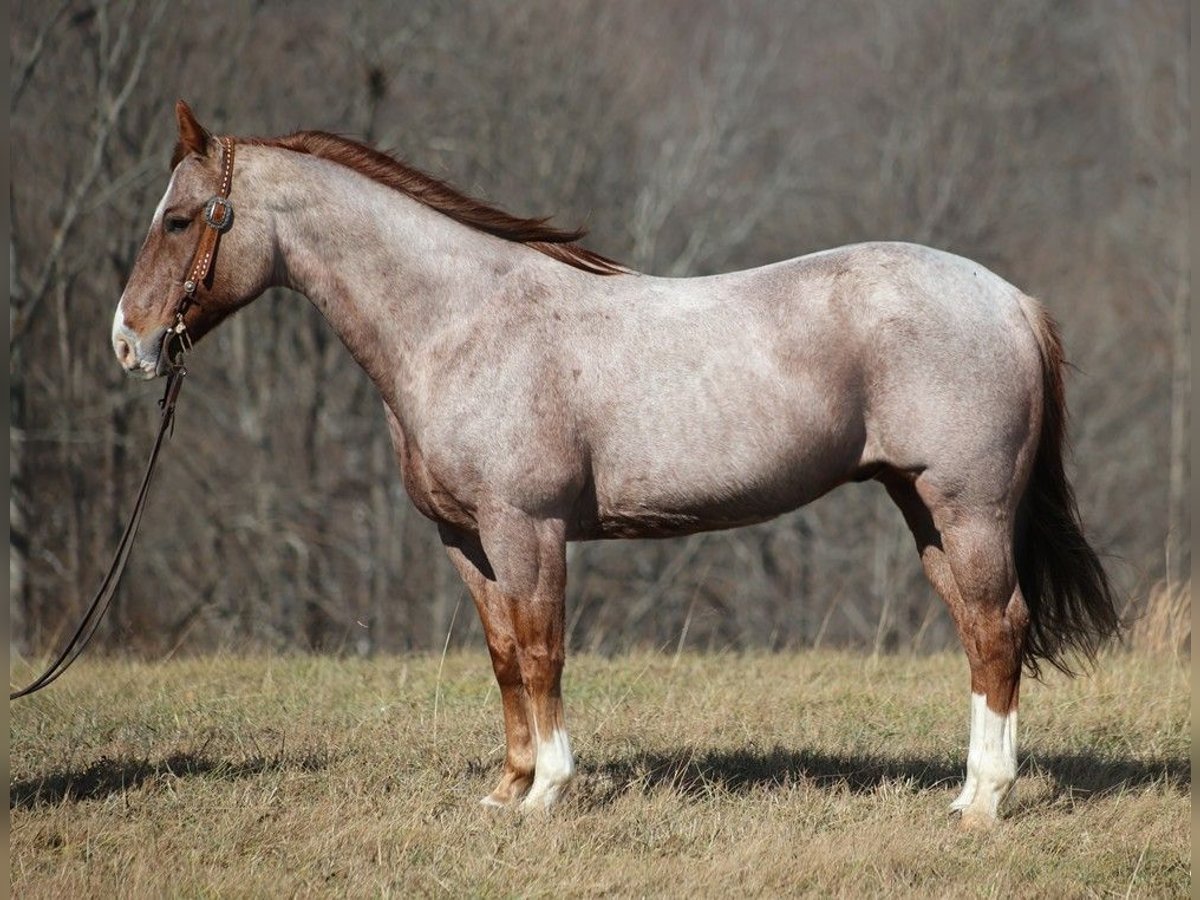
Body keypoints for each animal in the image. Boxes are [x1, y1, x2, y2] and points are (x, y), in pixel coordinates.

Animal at [112, 100, 1113, 830]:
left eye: (179, 218)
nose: (128, 342)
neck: (460, 321)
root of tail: (1010, 300)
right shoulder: (465, 541)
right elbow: (503, 656)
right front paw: (507, 790)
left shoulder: (529, 528)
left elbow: (544, 649)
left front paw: (549, 792)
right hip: (925, 511)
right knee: (981, 632)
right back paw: (968, 792)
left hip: (969, 508)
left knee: (998, 629)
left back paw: (985, 803)